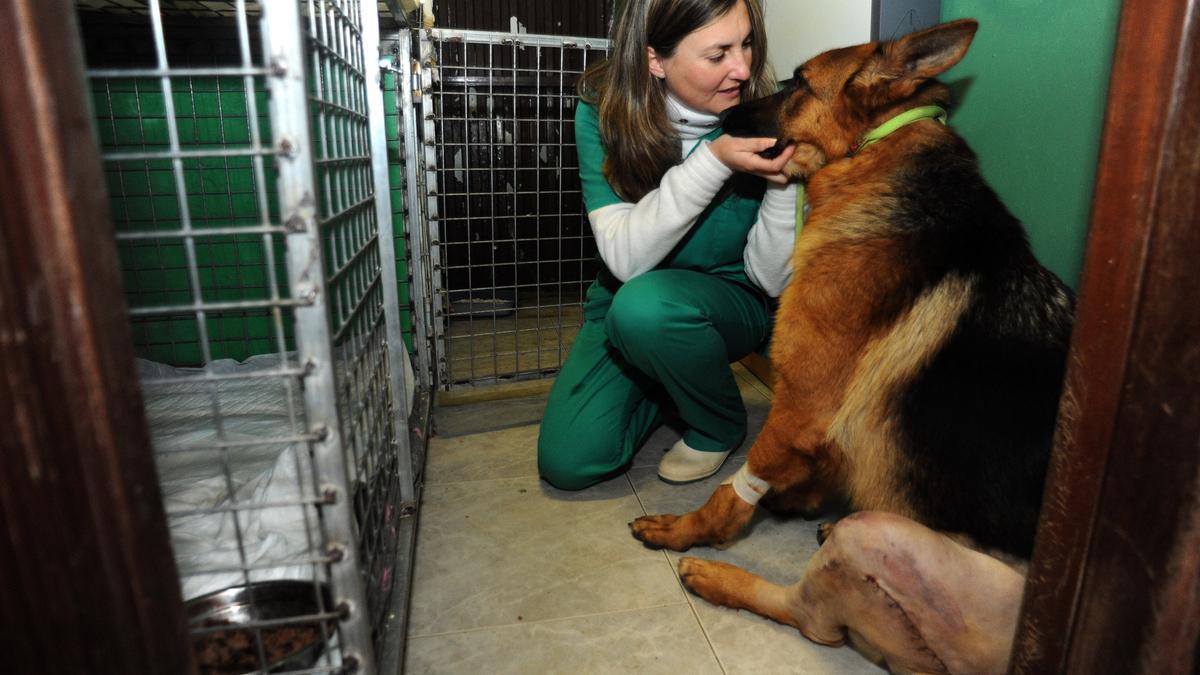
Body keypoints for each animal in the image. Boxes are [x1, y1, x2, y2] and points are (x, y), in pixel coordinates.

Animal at [633, 18, 1075, 667]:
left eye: (798, 82)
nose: (724, 114)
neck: (870, 153)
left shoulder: (802, 401)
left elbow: (736, 490)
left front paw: (691, 529)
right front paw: (801, 495)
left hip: (880, 542)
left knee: (809, 616)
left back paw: (715, 575)